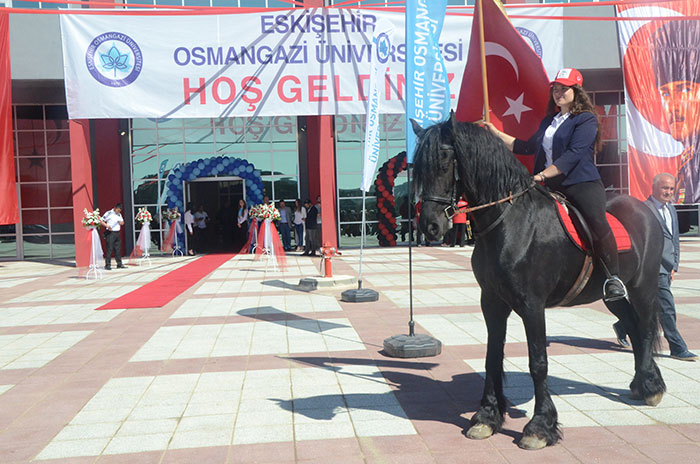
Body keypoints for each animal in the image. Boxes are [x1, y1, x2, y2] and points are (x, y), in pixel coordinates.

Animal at [412, 115, 664, 450]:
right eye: (417, 168)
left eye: (443, 163)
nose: (430, 226)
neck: (510, 222)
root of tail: (646, 209)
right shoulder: (491, 302)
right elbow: (492, 357)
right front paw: (486, 417)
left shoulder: (532, 305)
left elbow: (538, 362)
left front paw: (539, 427)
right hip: (613, 296)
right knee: (634, 328)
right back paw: (640, 383)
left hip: (643, 287)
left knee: (646, 329)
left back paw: (651, 387)